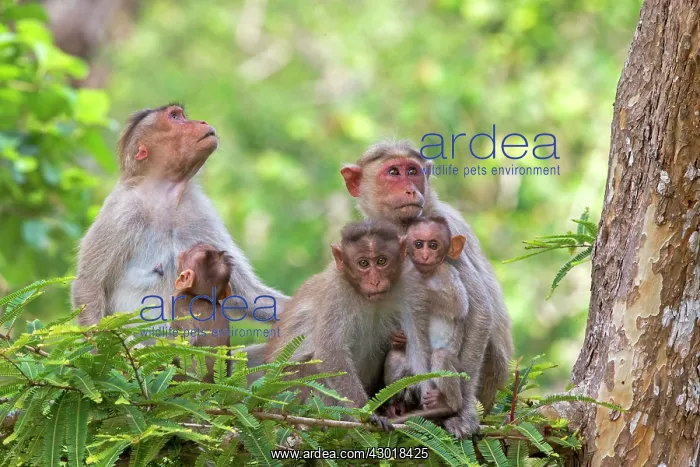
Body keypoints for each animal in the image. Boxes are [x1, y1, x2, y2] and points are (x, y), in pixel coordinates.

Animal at [72, 104, 287, 334]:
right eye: (175, 117)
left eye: (182, 115)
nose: (202, 122)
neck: (163, 197)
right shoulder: (121, 213)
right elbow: (88, 284)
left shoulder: (199, 212)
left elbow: (243, 292)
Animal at [264, 220, 412, 430]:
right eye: (363, 263)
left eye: (382, 261)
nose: (375, 281)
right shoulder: (336, 293)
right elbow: (330, 353)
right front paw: (368, 413)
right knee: (313, 371)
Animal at [383, 216, 469, 430]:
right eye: (418, 244)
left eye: (433, 245)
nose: (425, 255)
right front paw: (397, 338)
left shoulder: (447, 272)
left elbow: (458, 304)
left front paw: (420, 289)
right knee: (396, 356)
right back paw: (397, 406)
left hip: (459, 371)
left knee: (441, 357)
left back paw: (447, 406)